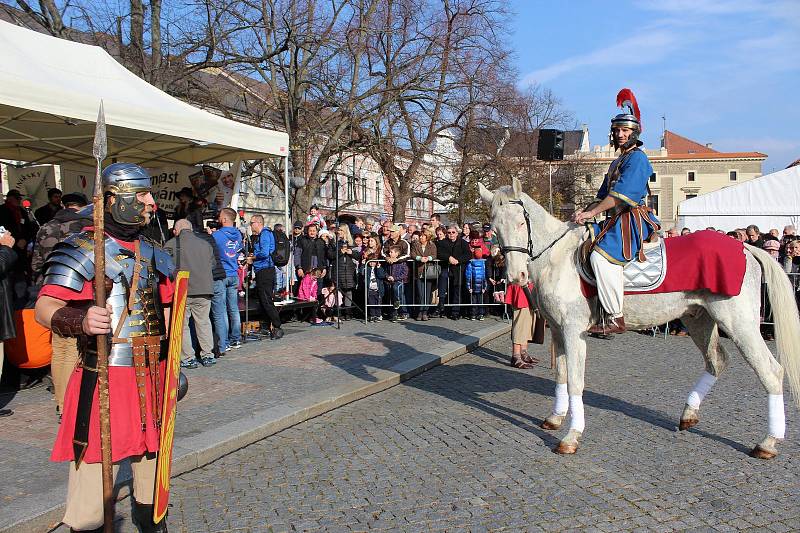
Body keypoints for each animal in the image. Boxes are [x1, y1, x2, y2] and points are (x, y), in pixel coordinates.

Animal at [478, 179, 800, 458]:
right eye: (494, 227)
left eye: (521, 222)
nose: (515, 277)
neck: (556, 259)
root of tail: (745, 247)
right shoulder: (557, 331)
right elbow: (561, 375)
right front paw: (555, 419)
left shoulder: (572, 331)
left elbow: (575, 382)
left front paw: (571, 437)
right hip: (699, 320)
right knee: (716, 361)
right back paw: (688, 414)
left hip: (740, 323)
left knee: (771, 371)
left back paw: (768, 442)